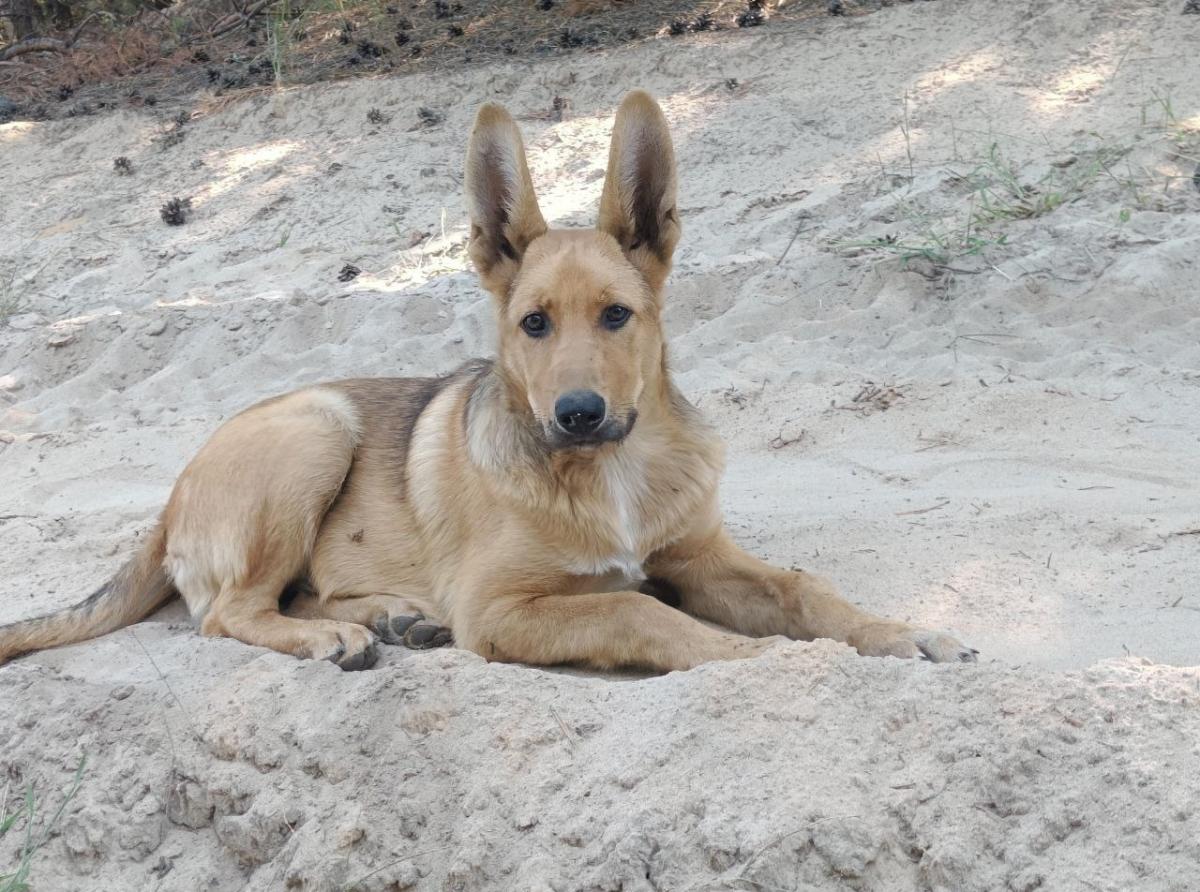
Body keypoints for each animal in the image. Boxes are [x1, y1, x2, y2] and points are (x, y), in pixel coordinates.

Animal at [0, 92, 974, 677]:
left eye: (616, 316)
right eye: (533, 325)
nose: (578, 414)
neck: (611, 473)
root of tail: (170, 501)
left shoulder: (702, 557)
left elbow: (807, 590)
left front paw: (902, 634)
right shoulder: (501, 607)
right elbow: (642, 612)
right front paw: (760, 662)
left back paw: (394, 618)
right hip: (316, 428)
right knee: (229, 610)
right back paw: (334, 635)